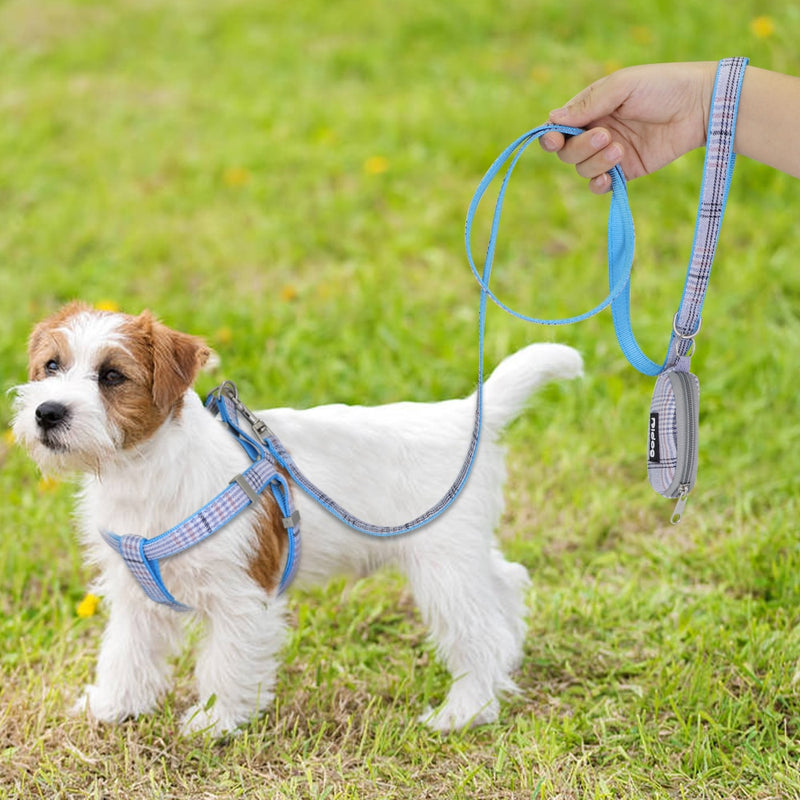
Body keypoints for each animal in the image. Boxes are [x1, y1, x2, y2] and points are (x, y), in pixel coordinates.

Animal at [9, 304, 580, 736]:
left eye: (111, 376)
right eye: (51, 366)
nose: (48, 412)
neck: (145, 471)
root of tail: (463, 415)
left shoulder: (242, 597)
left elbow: (224, 663)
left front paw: (214, 722)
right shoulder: (134, 598)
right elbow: (125, 653)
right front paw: (111, 707)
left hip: (444, 570)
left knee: (480, 633)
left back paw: (464, 711)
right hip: (465, 553)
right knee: (507, 583)